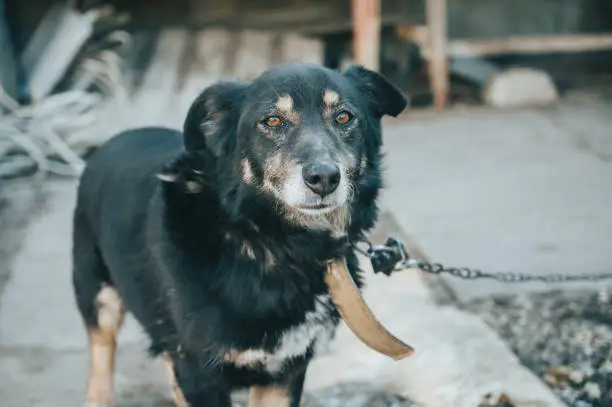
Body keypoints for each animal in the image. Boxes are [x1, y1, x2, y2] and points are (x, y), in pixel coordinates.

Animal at [73, 61, 406, 407]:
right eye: (272, 121)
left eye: (343, 117)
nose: (325, 178)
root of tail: (117, 138)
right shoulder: (199, 374)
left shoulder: (282, 372)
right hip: (98, 294)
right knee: (101, 355)